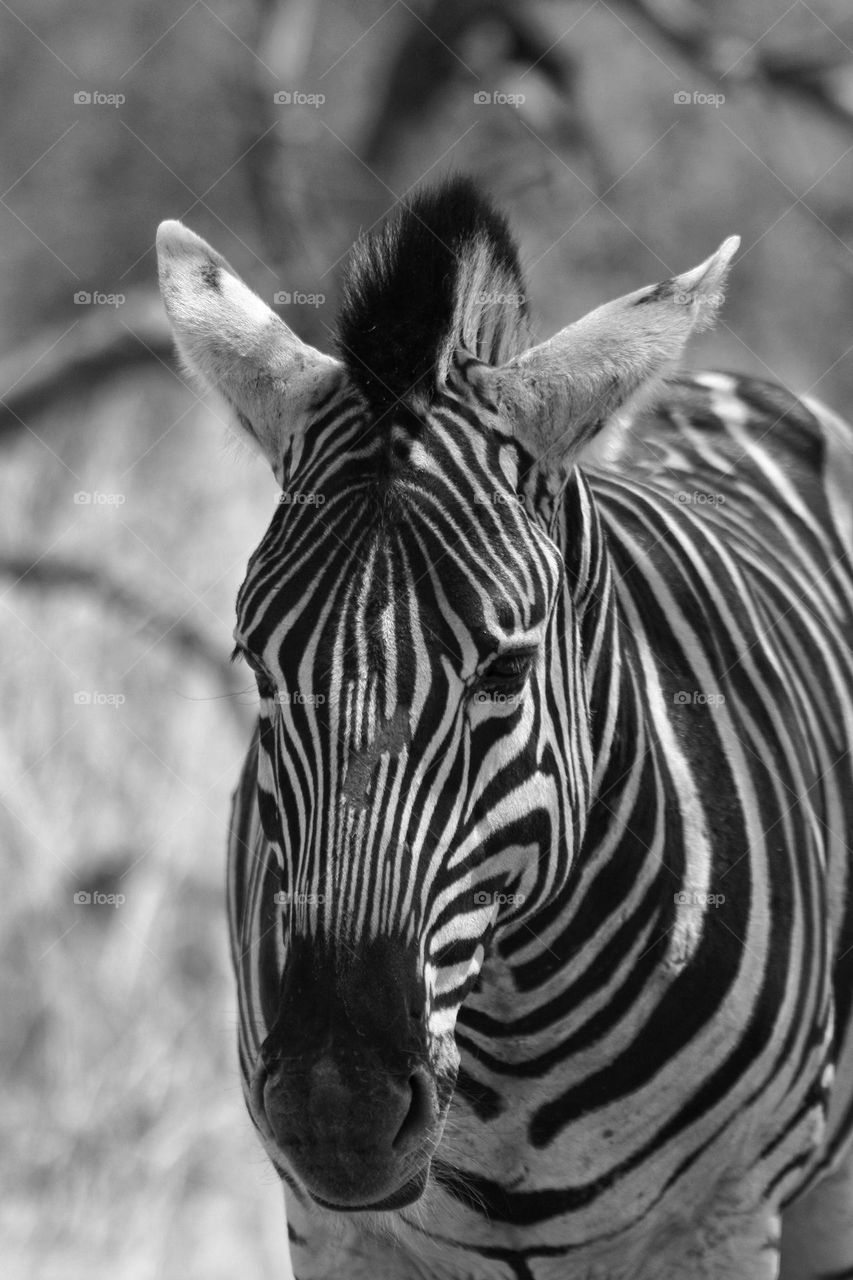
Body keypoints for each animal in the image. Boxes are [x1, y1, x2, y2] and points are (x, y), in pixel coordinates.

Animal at [156, 176, 853, 1280]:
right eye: (258, 669)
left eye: (505, 669)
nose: (335, 1112)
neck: (517, 1042)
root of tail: (714, 383)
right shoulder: (332, 1228)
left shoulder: (727, 1216)